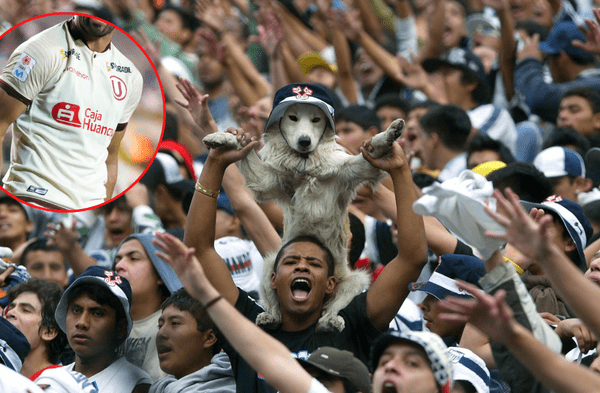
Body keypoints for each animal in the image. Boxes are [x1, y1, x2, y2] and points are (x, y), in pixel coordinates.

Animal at [204, 85, 406, 330]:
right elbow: (244, 147)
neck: (305, 165)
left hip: (356, 280)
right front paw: (221, 137)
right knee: (277, 308)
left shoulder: (352, 170)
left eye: (316, 119)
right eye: (292, 117)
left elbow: (371, 151)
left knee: (329, 311)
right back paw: (269, 317)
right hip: (271, 264)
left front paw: (389, 134)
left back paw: (332, 321)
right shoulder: (267, 181)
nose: (304, 141)